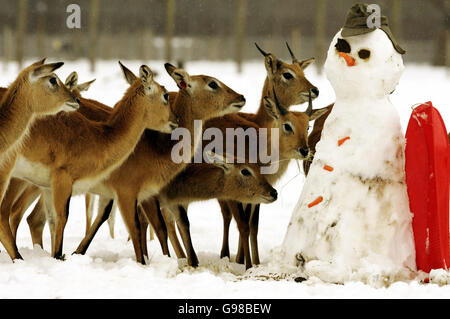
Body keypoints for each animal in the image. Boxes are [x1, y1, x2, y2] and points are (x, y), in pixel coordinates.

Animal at [0, 63, 178, 262]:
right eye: (165, 94)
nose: (176, 121)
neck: (99, 137)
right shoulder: (64, 181)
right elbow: (63, 218)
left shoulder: (48, 187)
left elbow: (54, 221)